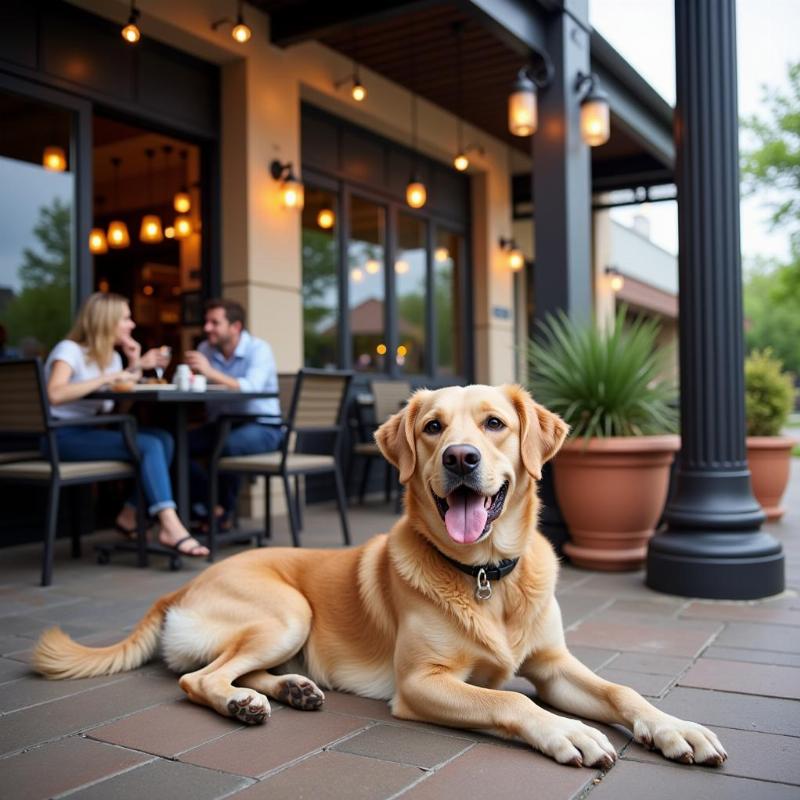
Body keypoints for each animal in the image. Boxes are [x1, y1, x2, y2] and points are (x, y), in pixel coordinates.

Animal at [32, 386, 724, 768]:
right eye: (433, 427)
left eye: (494, 423)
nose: (461, 458)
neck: (486, 577)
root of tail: (179, 585)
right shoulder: (421, 683)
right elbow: (508, 699)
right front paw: (568, 732)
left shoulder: (554, 665)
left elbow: (622, 692)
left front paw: (676, 728)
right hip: (288, 612)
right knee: (198, 679)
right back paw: (243, 703)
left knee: (234, 671)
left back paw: (288, 691)